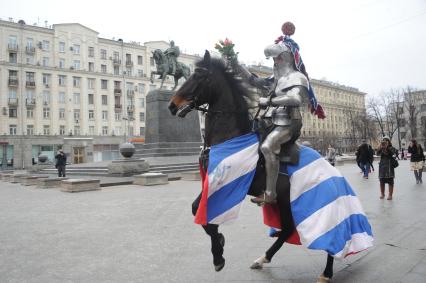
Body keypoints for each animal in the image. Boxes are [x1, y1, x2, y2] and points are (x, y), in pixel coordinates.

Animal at [168, 51, 334, 283]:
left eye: (199, 76)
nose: (172, 105)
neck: (229, 138)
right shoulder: (210, 182)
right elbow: (196, 209)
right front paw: (219, 243)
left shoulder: (226, 183)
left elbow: (203, 215)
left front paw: (218, 255)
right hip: (285, 202)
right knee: (287, 229)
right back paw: (262, 259)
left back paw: (326, 273)